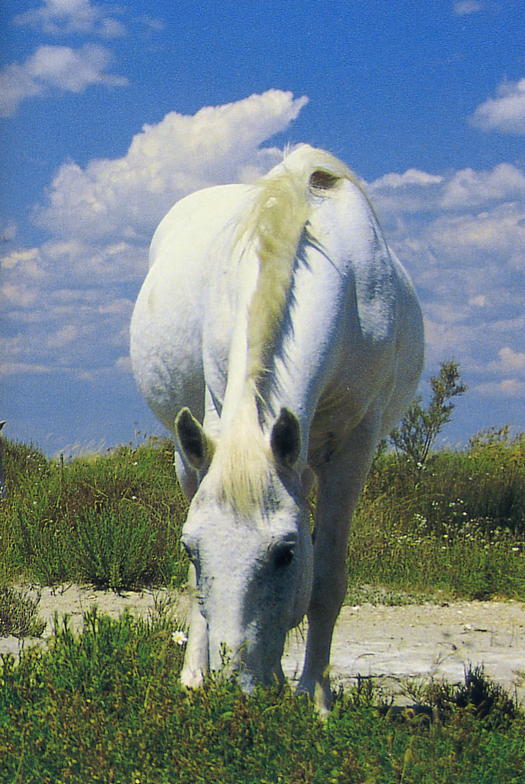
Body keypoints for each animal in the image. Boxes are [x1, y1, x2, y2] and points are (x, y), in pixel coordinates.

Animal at [130, 144, 424, 713]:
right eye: (191, 549)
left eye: (285, 554)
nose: (238, 691)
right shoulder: (220, 409)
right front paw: (200, 675)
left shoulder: (355, 446)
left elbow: (326, 579)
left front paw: (316, 699)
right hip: (190, 456)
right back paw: (195, 672)